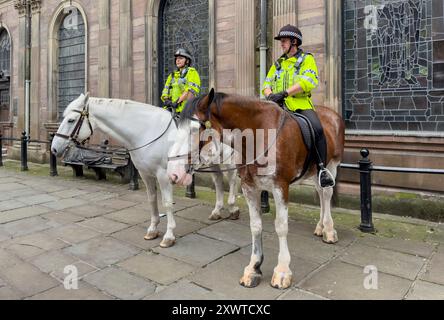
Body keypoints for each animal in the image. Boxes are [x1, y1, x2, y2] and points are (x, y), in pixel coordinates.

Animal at [51, 92, 239, 248]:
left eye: (70, 120)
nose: (54, 148)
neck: (147, 131)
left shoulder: (164, 175)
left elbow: (167, 203)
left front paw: (169, 236)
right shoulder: (145, 174)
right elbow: (152, 199)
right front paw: (153, 229)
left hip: (228, 158)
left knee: (232, 178)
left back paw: (233, 208)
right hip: (213, 161)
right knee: (218, 180)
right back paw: (217, 211)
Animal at [168, 89, 346, 288]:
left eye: (194, 129)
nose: (174, 173)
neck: (259, 136)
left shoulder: (280, 187)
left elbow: (281, 226)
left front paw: (282, 271)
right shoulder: (249, 187)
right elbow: (255, 226)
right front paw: (254, 268)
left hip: (332, 164)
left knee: (327, 193)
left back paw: (329, 230)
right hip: (314, 171)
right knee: (321, 194)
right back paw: (321, 226)